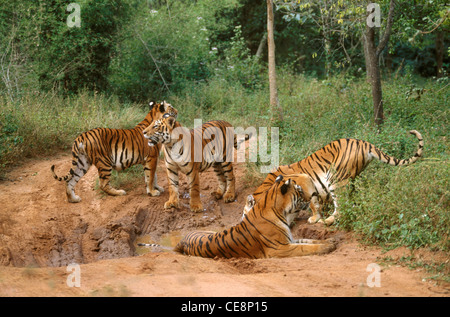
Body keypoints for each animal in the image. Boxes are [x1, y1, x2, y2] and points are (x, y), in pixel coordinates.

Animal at [174, 174, 336, 258]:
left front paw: (329, 241)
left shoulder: (289, 239)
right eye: (300, 190)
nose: (312, 196)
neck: (282, 212)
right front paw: (328, 246)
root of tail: (182, 239)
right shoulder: (279, 247)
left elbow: (309, 240)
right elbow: (305, 248)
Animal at [243, 129, 422, 225]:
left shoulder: (304, 181)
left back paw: (327, 221)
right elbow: (314, 202)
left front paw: (314, 219)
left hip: (335, 179)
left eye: (245, 214)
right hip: (349, 178)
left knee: (342, 207)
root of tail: (365, 143)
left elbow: (312, 203)